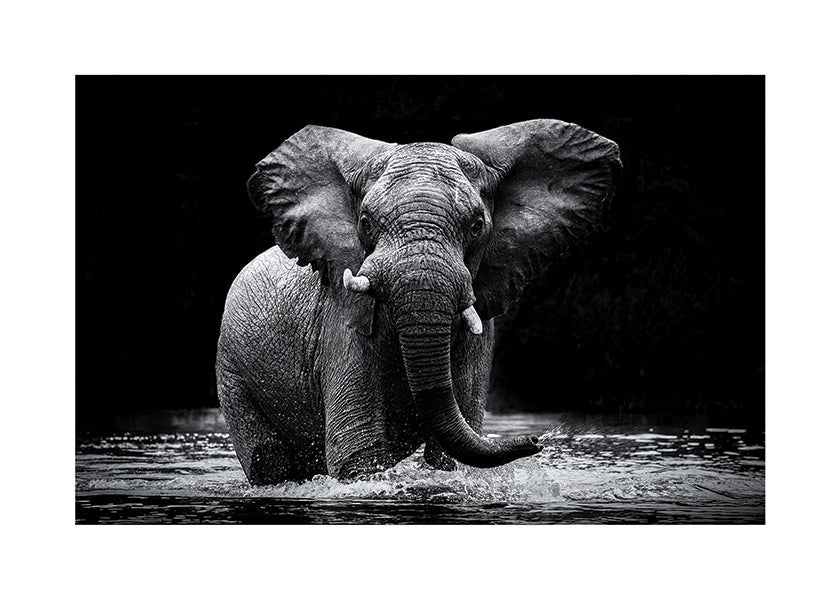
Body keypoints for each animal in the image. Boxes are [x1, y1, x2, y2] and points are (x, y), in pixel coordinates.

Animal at [216, 119, 621, 484]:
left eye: (477, 225)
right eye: (365, 223)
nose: (538, 440)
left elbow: (450, 455)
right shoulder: (343, 319)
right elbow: (358, 454)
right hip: (231, 370)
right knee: (267, 462)